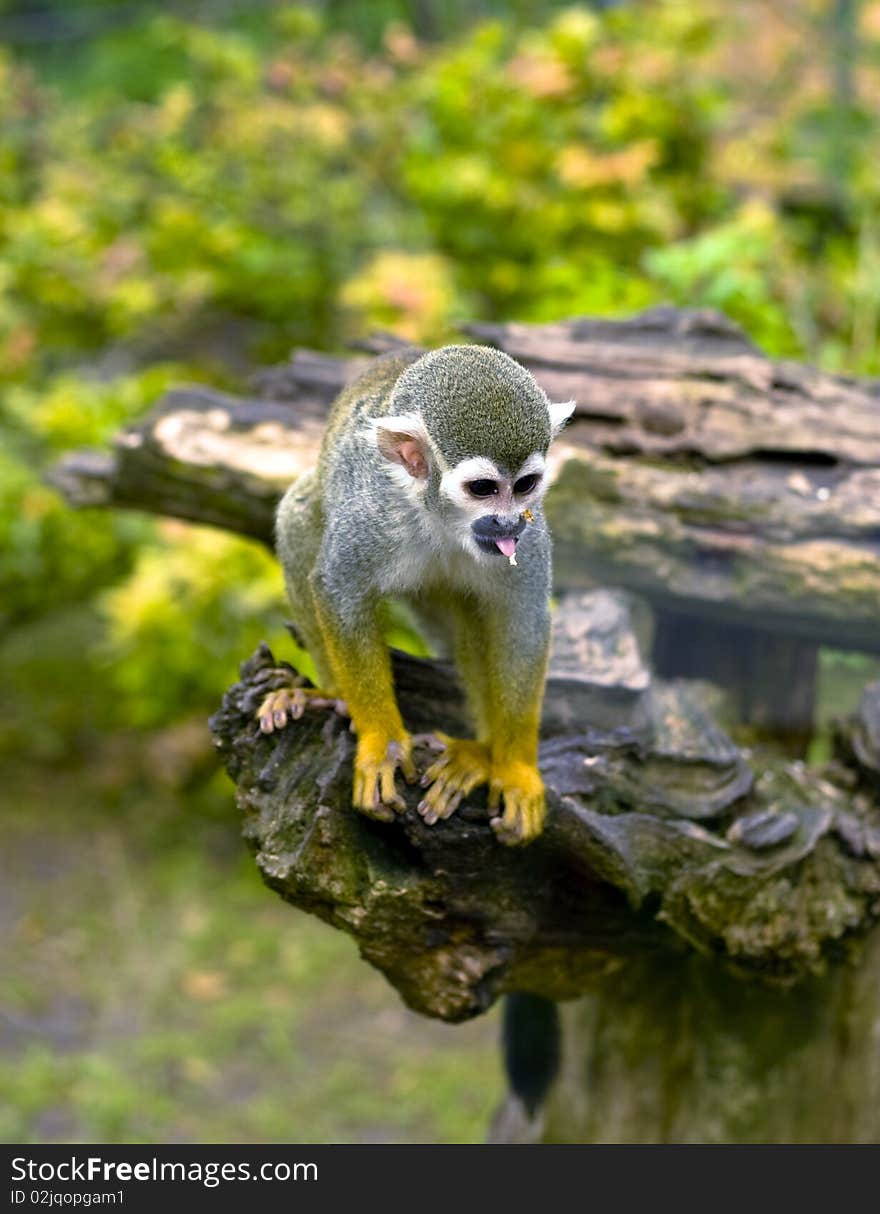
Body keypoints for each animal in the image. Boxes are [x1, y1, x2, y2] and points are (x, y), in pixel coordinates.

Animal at [256, 344, 570, 844]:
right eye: (483, 489)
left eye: (524, 486)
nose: (507, 523)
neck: (442, 519)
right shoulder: (371, 513)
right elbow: (338, 588)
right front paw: (382, 744)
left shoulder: (532, 530)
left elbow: (520, 620)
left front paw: (516, 769)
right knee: (299, 511)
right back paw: (331, 697)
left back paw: (478, 755)